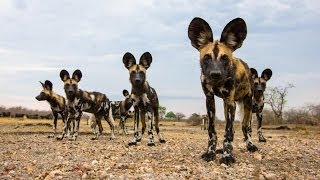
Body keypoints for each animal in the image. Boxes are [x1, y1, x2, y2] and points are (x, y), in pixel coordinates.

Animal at [188, 17, 258, 165]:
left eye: (225, 58)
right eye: (207, 57)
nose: (215, 74)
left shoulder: (231, 101)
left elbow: (229, 132)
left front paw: (227, 156)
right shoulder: (210, 100)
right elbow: (212, 131)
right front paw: (211, 152)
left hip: (247, 104)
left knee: (245, 127)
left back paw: (250, 145)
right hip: (227, 107)